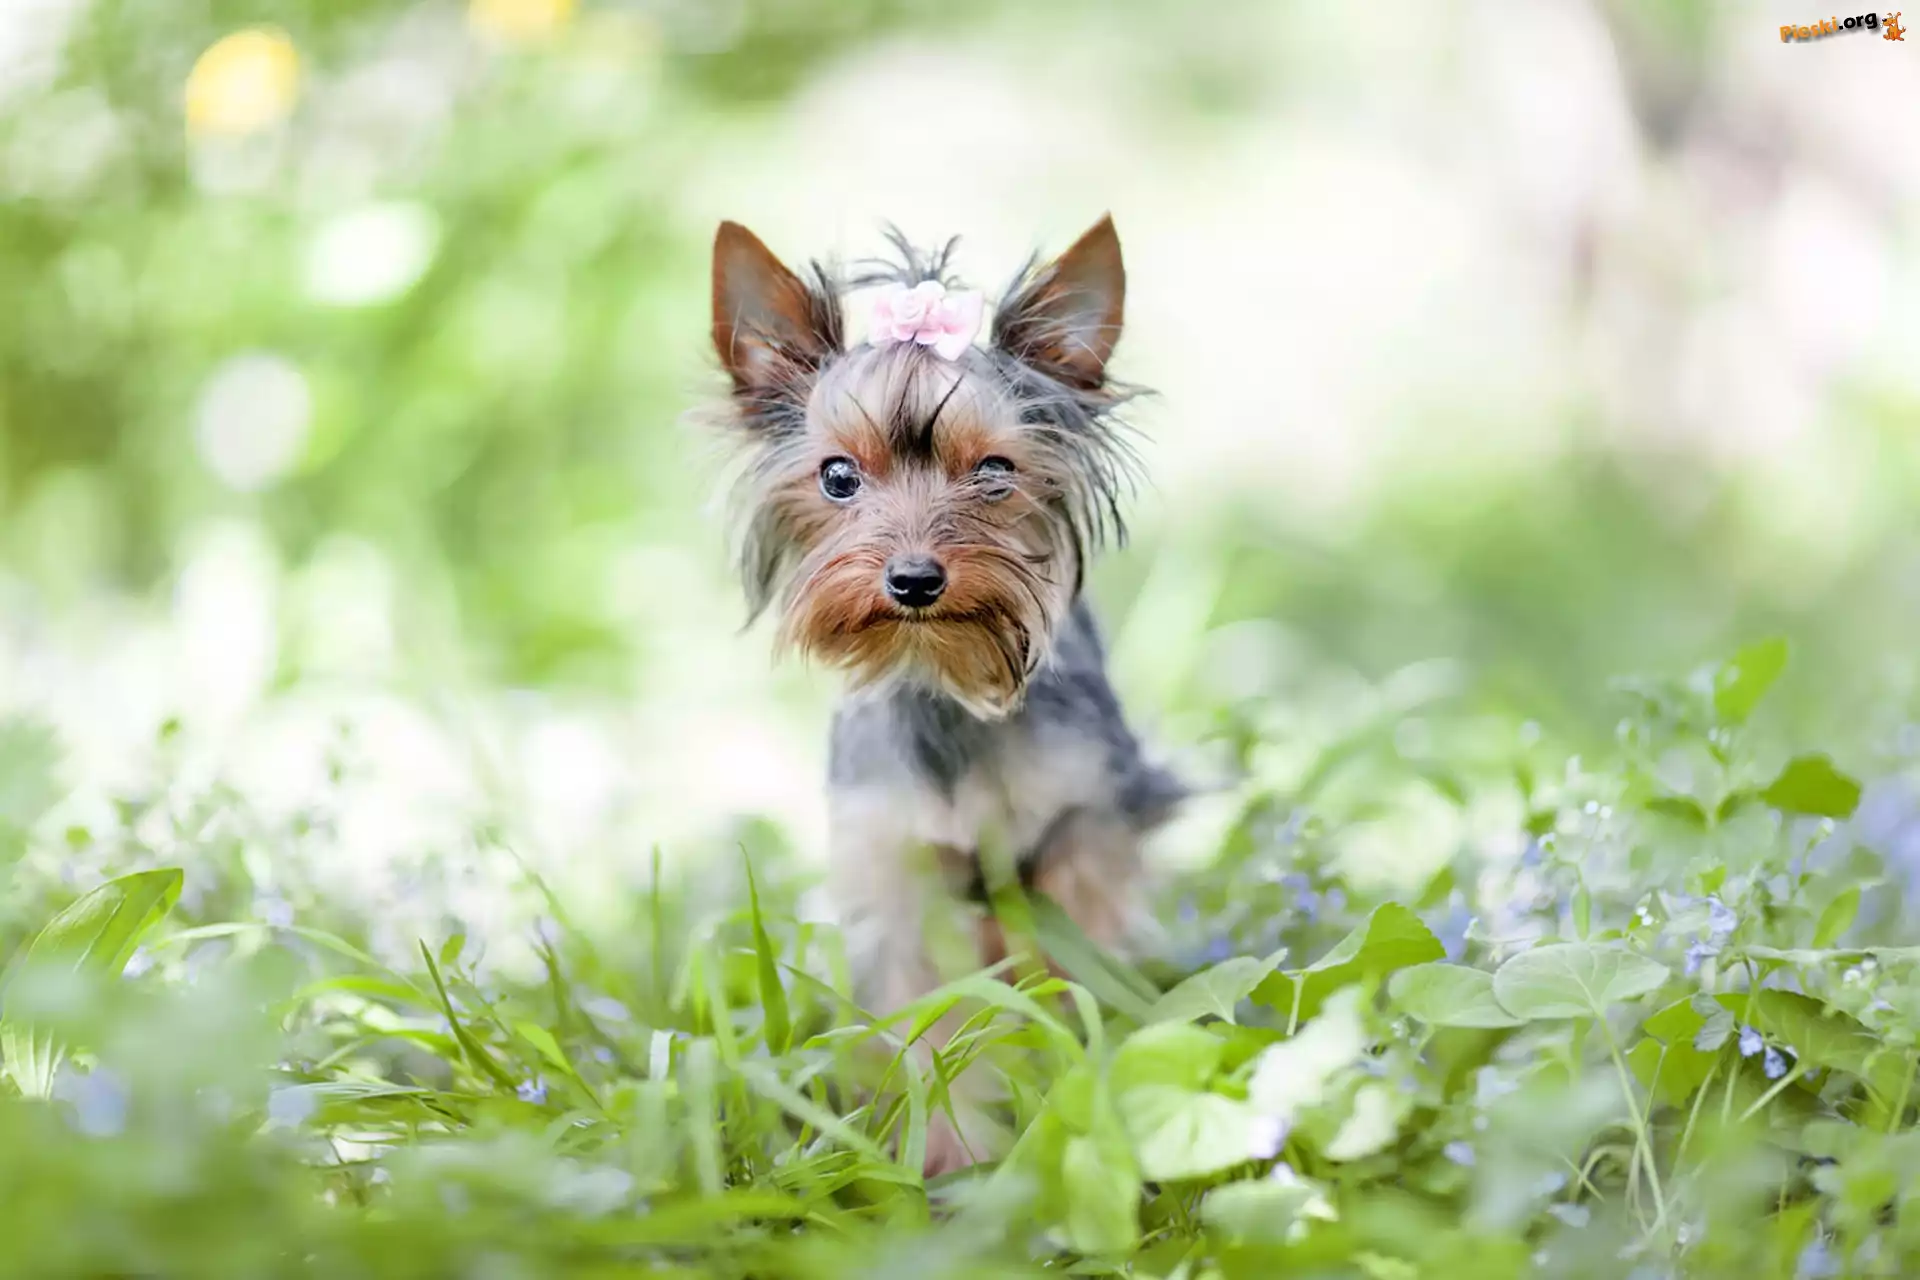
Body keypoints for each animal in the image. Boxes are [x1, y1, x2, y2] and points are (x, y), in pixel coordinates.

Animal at [705, 215, 1183, 1173]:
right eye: (838, 477)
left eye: (994, 472)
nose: (915, 580)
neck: (944, 679)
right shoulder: (898, 875)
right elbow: (924, 1026)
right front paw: (943, 1156)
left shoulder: (1077, 838)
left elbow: (1068, 978)